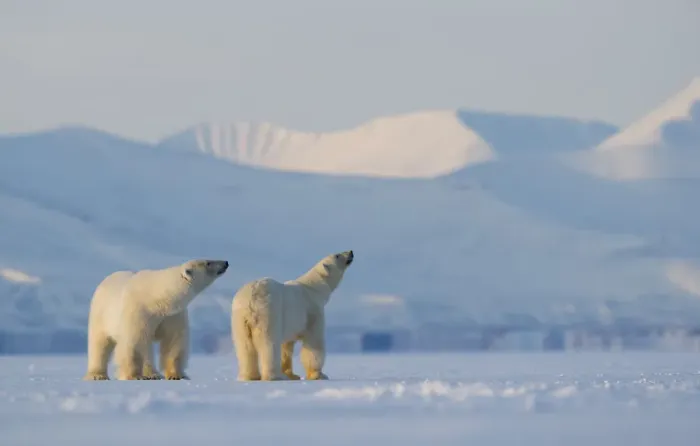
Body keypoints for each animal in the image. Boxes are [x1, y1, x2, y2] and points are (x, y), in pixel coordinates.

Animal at [83, 259, 229, 381]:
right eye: (208, 263)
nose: (226, 263)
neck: (155, 298)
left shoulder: (172, 315)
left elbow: (174, 341)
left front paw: (176, 375)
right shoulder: (137, 311)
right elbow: (133, 343)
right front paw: (135, 376)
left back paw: (153, 374)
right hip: (101, 314)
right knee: (100, 343)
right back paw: (97, 375)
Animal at [231, 250, 354, 381]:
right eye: (337, 255)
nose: (351, 252)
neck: (313, 288)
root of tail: (251, 299)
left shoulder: (291, 322)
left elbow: (286, 346)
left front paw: (291, 375)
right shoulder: (312, 311)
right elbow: (314, 342)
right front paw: (318, 375)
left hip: (239, 318)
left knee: (244, 346)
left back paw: (249, 376)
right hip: (269, 312)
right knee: (268, 343)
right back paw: (274, 376)